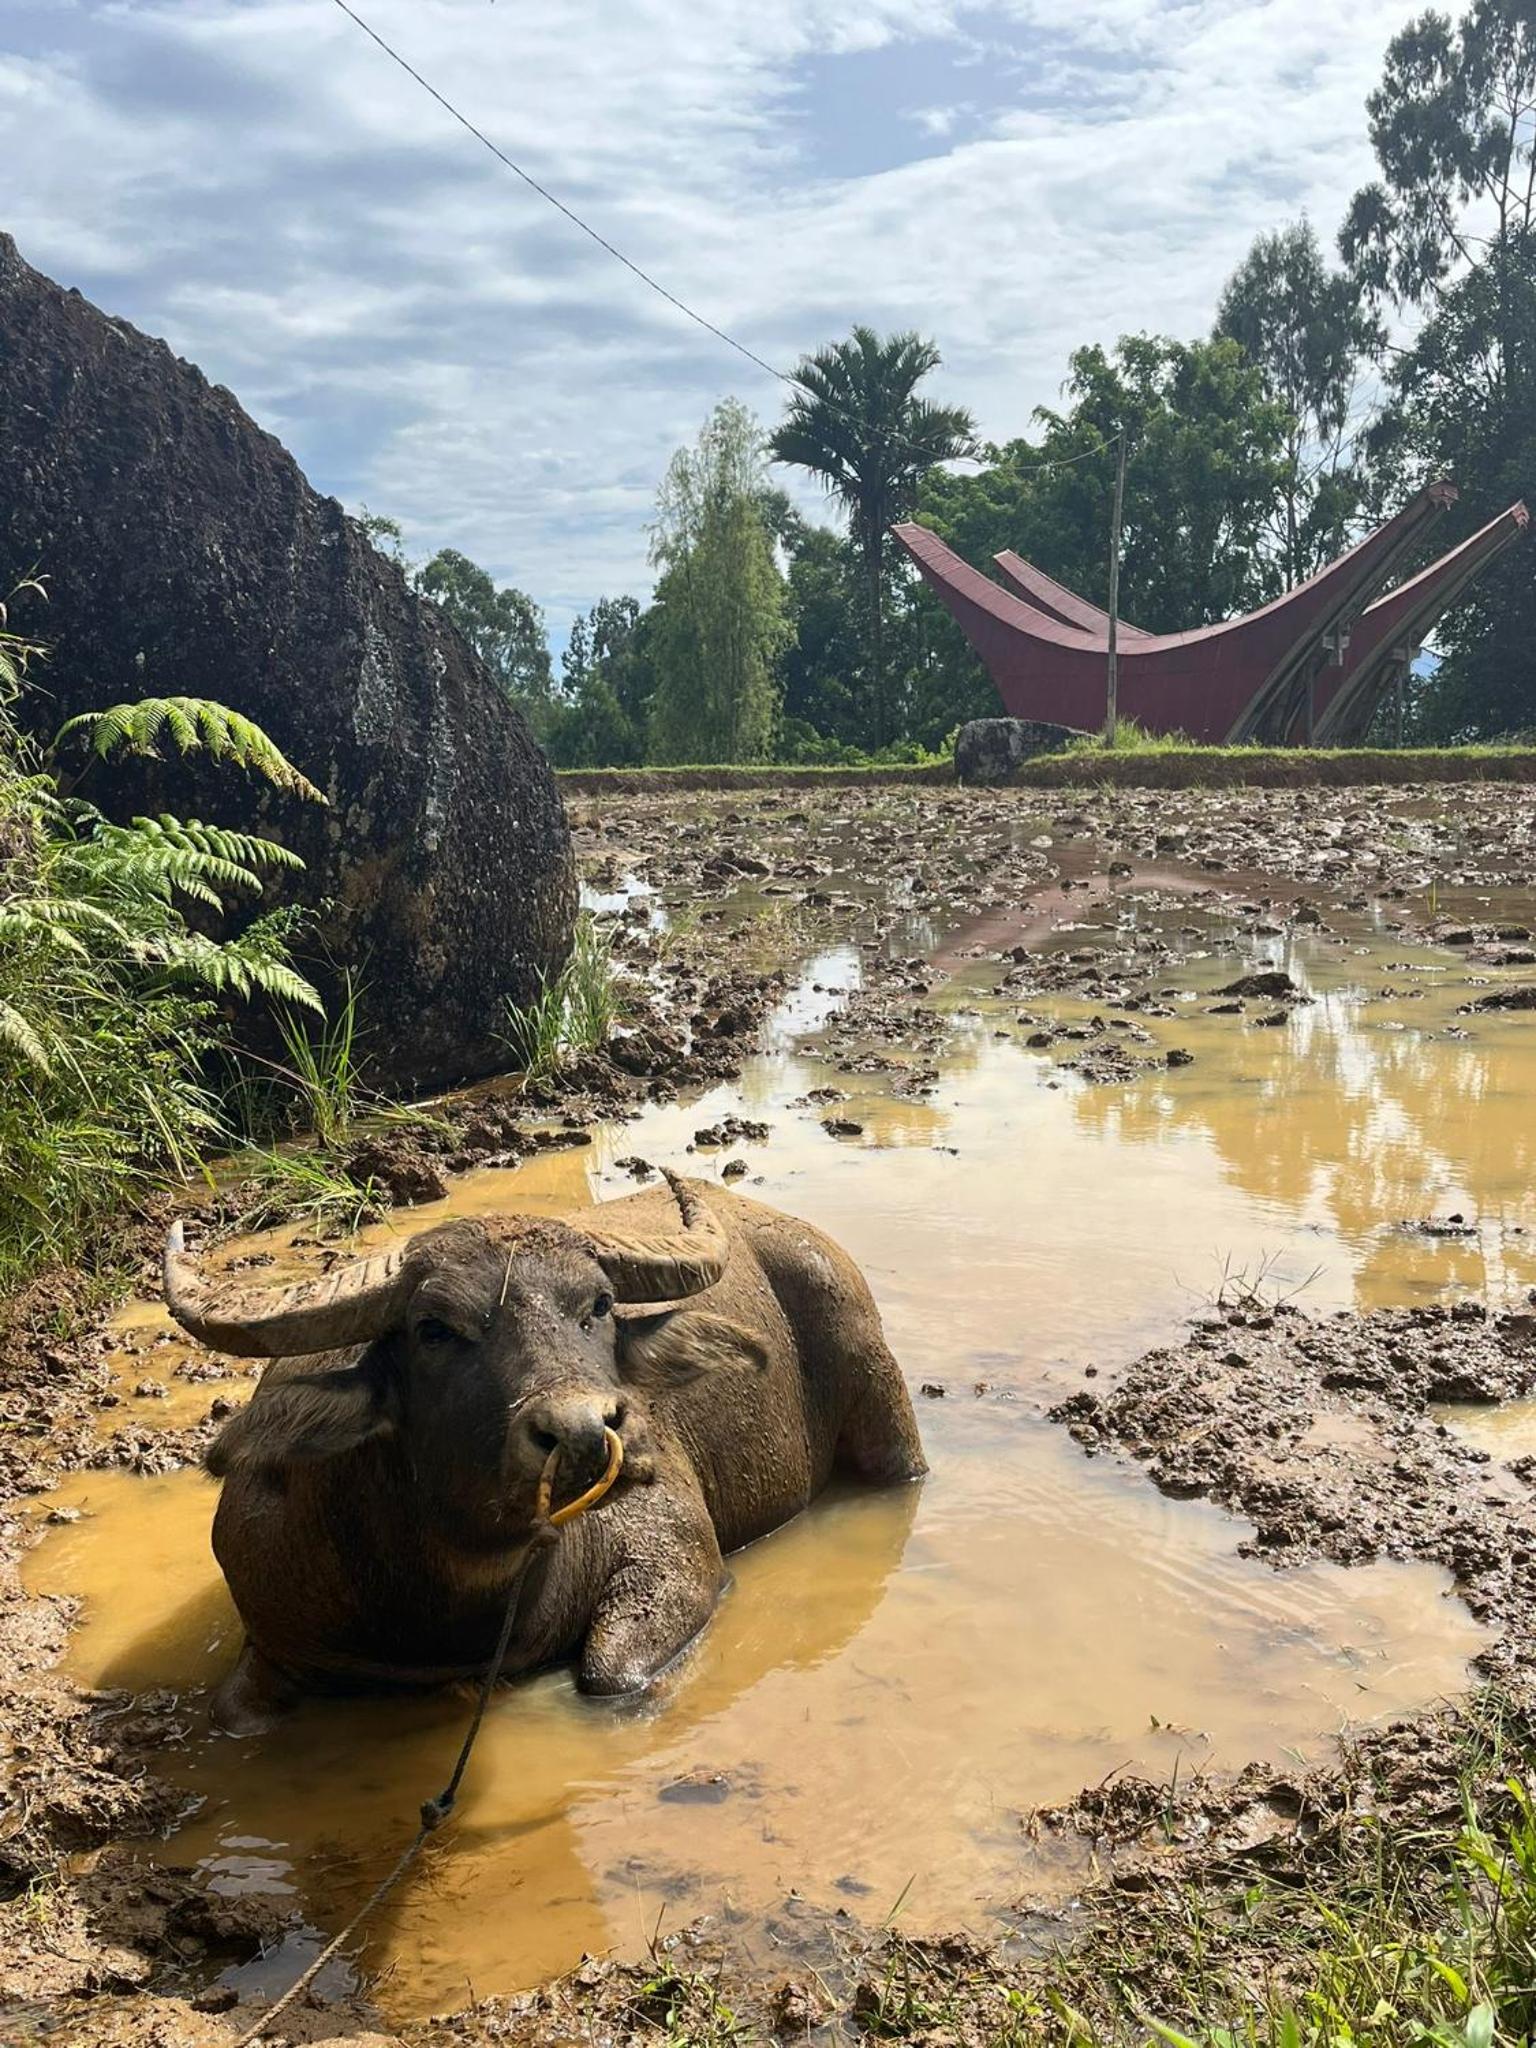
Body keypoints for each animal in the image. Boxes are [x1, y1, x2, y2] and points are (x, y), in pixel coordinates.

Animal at [165, 1173, 925, 1733]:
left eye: (600, 1304)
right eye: (433, 1329)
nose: (586, 1432)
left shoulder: (674, 1547)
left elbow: (608, 1673)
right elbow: (233, 1712)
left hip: (881, 1399)